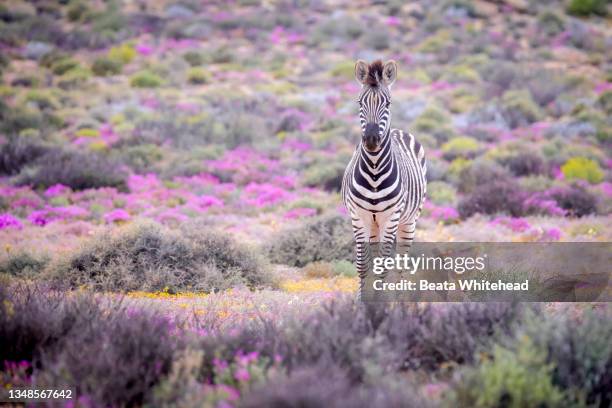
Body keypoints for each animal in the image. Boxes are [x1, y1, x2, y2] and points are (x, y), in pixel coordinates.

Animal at [342, 59, 428, 298]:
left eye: (388, 103)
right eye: (359, 102)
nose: (371, 139)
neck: (373, 170)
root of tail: (399, 131)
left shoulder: (392, 218)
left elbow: (385, 265)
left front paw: (382, 304)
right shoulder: (358, 217)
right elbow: (363, 264)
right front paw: (363, 302)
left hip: (409, 220)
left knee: (401, 262)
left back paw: (399, 300)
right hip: (374, 223)